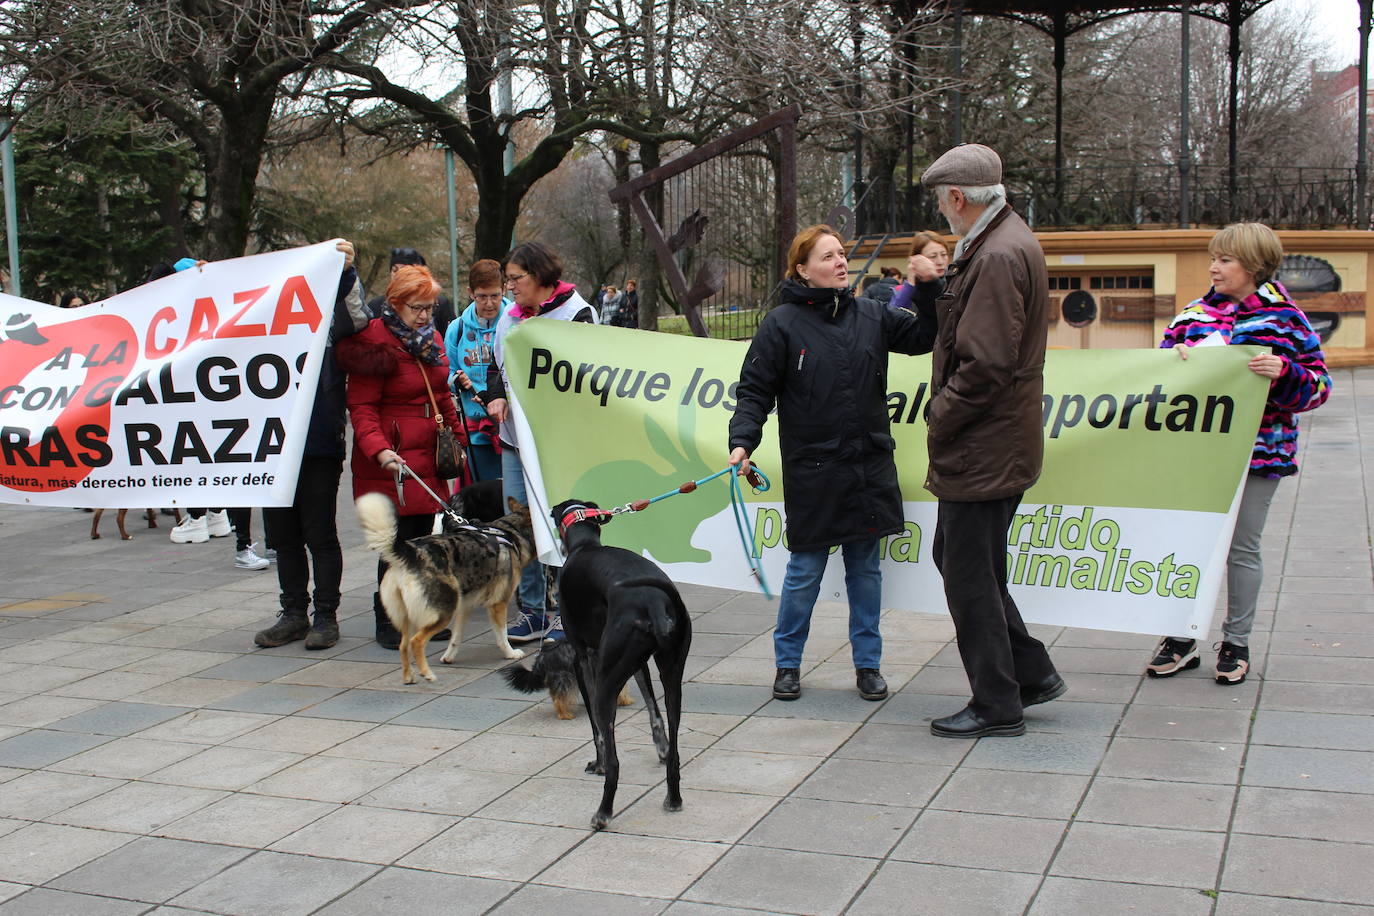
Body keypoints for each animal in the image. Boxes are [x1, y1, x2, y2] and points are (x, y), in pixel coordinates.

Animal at [354, 494, 535, 681]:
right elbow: (502, 635)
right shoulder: (498, 603)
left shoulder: (465, 606)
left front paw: (449, 657)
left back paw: (409, 678)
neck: (511, 533)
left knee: (403, 645)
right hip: (443, 612)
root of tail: (411, 553)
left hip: (409, 615)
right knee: (416, 642)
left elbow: (456, 637)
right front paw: (511, 653)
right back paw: (427, 674)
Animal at [546, 502, 692, 829]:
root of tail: (655, 603)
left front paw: (597, 763)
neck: (585, 545)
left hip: (605, 686)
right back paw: (673, 798)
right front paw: (660, 747)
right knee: (675, 749)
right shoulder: (637, 665)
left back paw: (603, 812)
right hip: (672, 678)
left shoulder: (584, 659)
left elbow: (597, 732)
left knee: (614, 761)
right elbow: (653, 710)